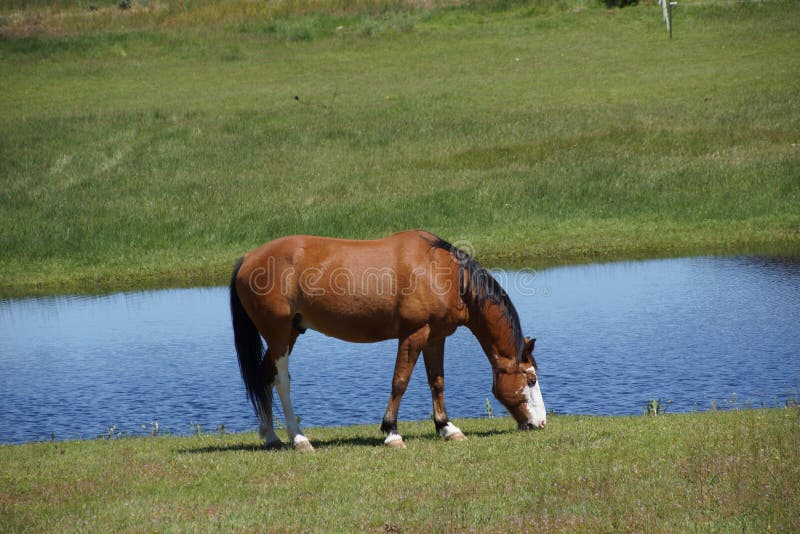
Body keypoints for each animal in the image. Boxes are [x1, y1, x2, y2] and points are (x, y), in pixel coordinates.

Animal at [228, 230, 548, 452]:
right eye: (531, 379)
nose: (541, 423)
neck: (444, 274)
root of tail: (248, 259)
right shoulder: (414, 334)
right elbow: (400, 381)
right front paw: (392, 432)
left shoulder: (435, 337)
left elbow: (437, 381)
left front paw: (447, 427)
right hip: (279, 334)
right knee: (281, 381)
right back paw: (299, 437)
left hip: (290, 333)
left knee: (264, 376)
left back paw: (271, 436)